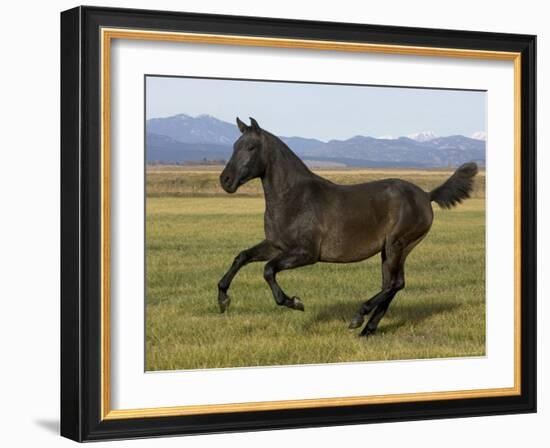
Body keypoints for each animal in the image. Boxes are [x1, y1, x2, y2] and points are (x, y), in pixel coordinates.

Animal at [218, 117, 476, 334]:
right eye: (234, 146)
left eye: (251, 147)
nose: (225, 180)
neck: (294, 198)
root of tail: (426, 195)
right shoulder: (276, 246)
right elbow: (242, 257)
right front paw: (223, 300)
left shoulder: (306, 253)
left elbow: (268, 270)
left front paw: (295, 302)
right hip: (393, 250)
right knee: (394, 285)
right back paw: (367, 329)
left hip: (397, 245)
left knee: (394, 284)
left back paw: (358, 318)